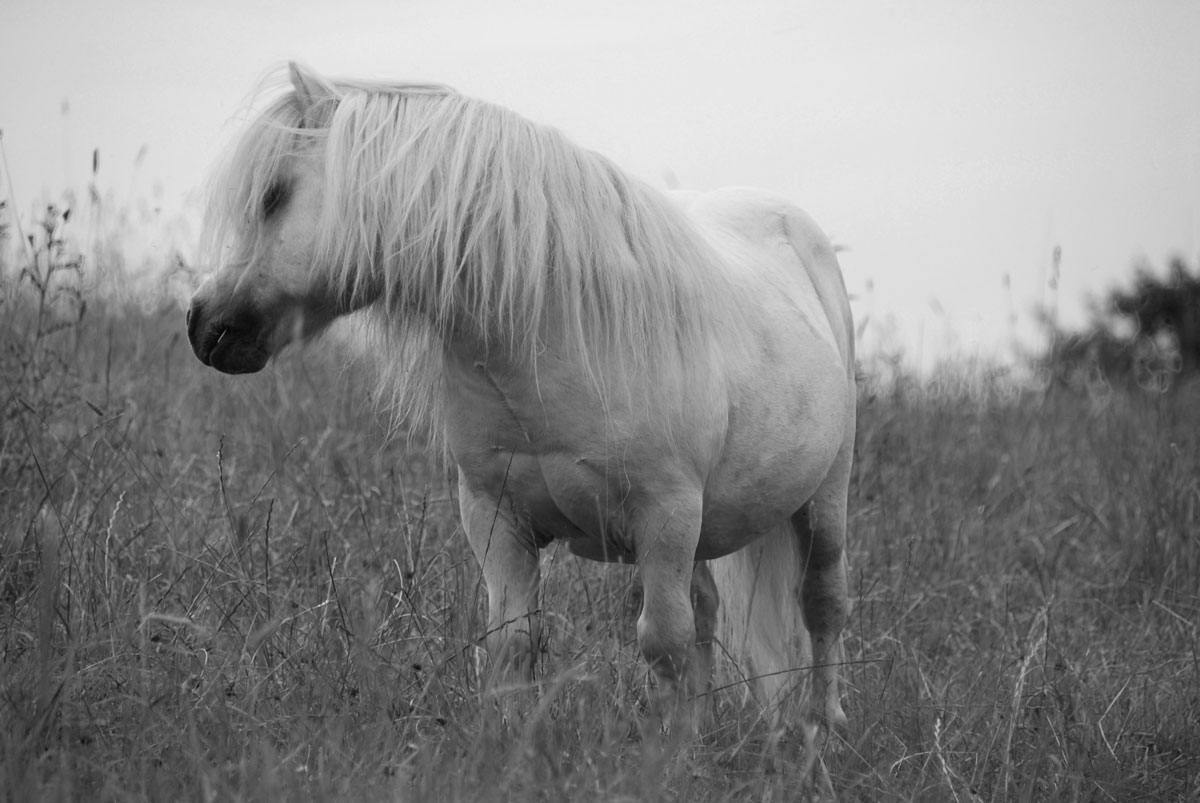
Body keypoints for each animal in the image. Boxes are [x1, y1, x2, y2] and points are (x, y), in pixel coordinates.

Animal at [187, 62, 854, 753]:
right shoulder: (495, 515)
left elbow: (662, 639)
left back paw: (826, 725)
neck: (555, 333)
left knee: (821, 603)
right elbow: (515, 639)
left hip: (823, 499)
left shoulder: (665, 516)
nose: (202, 325)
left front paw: (666, 757)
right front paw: (513, 745)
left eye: (273, 195)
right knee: (709, 611)